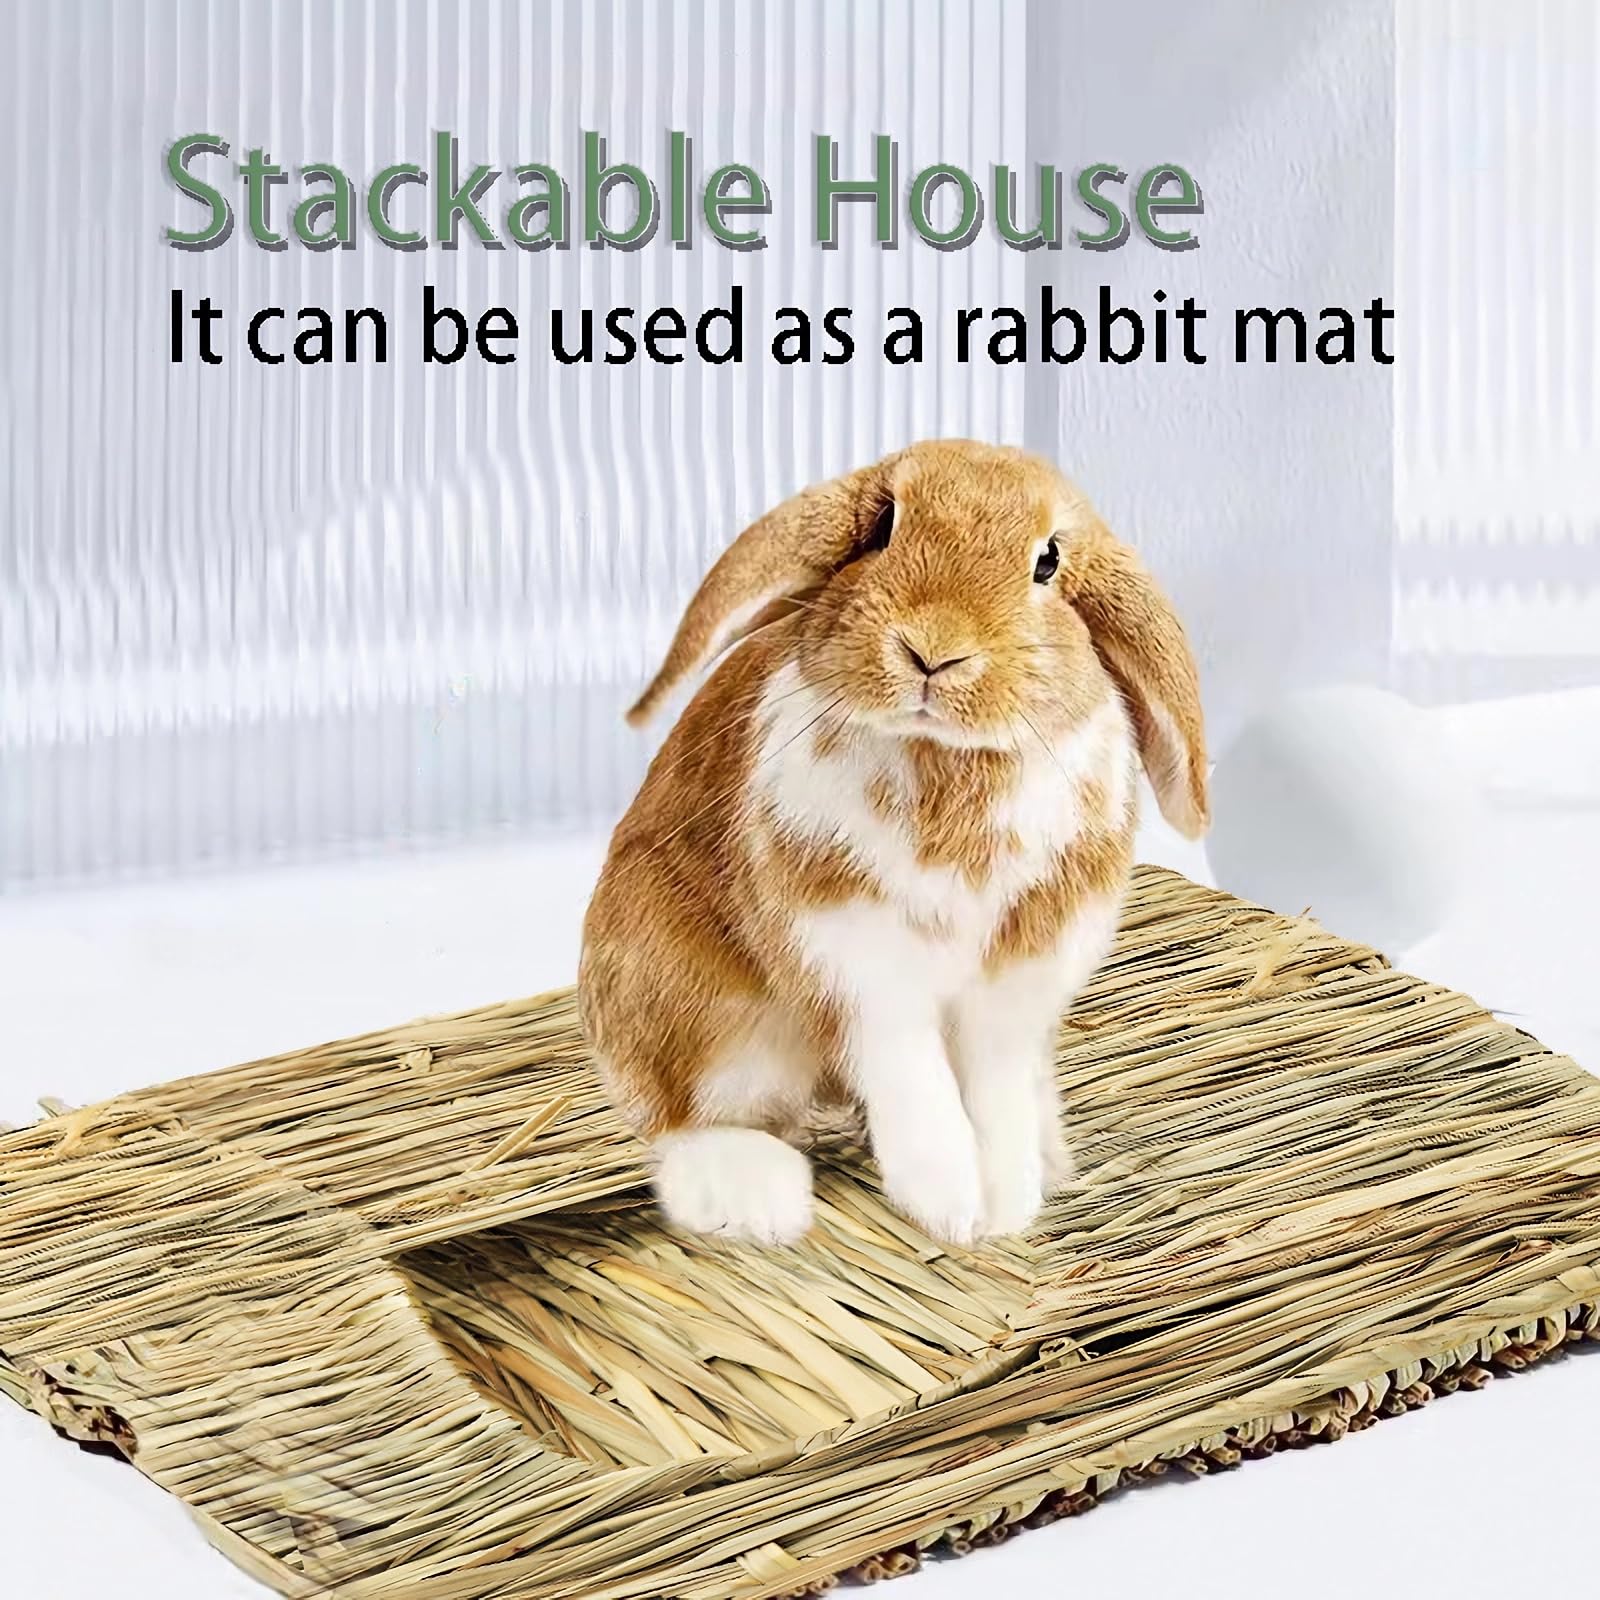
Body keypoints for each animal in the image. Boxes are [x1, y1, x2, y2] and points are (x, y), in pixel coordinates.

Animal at [578, 440, 1208, 1247]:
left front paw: (1006, 1205)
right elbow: (914, 1081)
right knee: (681, 1128)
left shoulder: (1021, 974)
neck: (946, 755)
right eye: (883, 526)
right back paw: (758, 1197)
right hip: (699, 1012)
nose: (933, 650)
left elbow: (994, 1090)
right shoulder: (860, 961)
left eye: (1048, 562)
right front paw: (950, 1208)